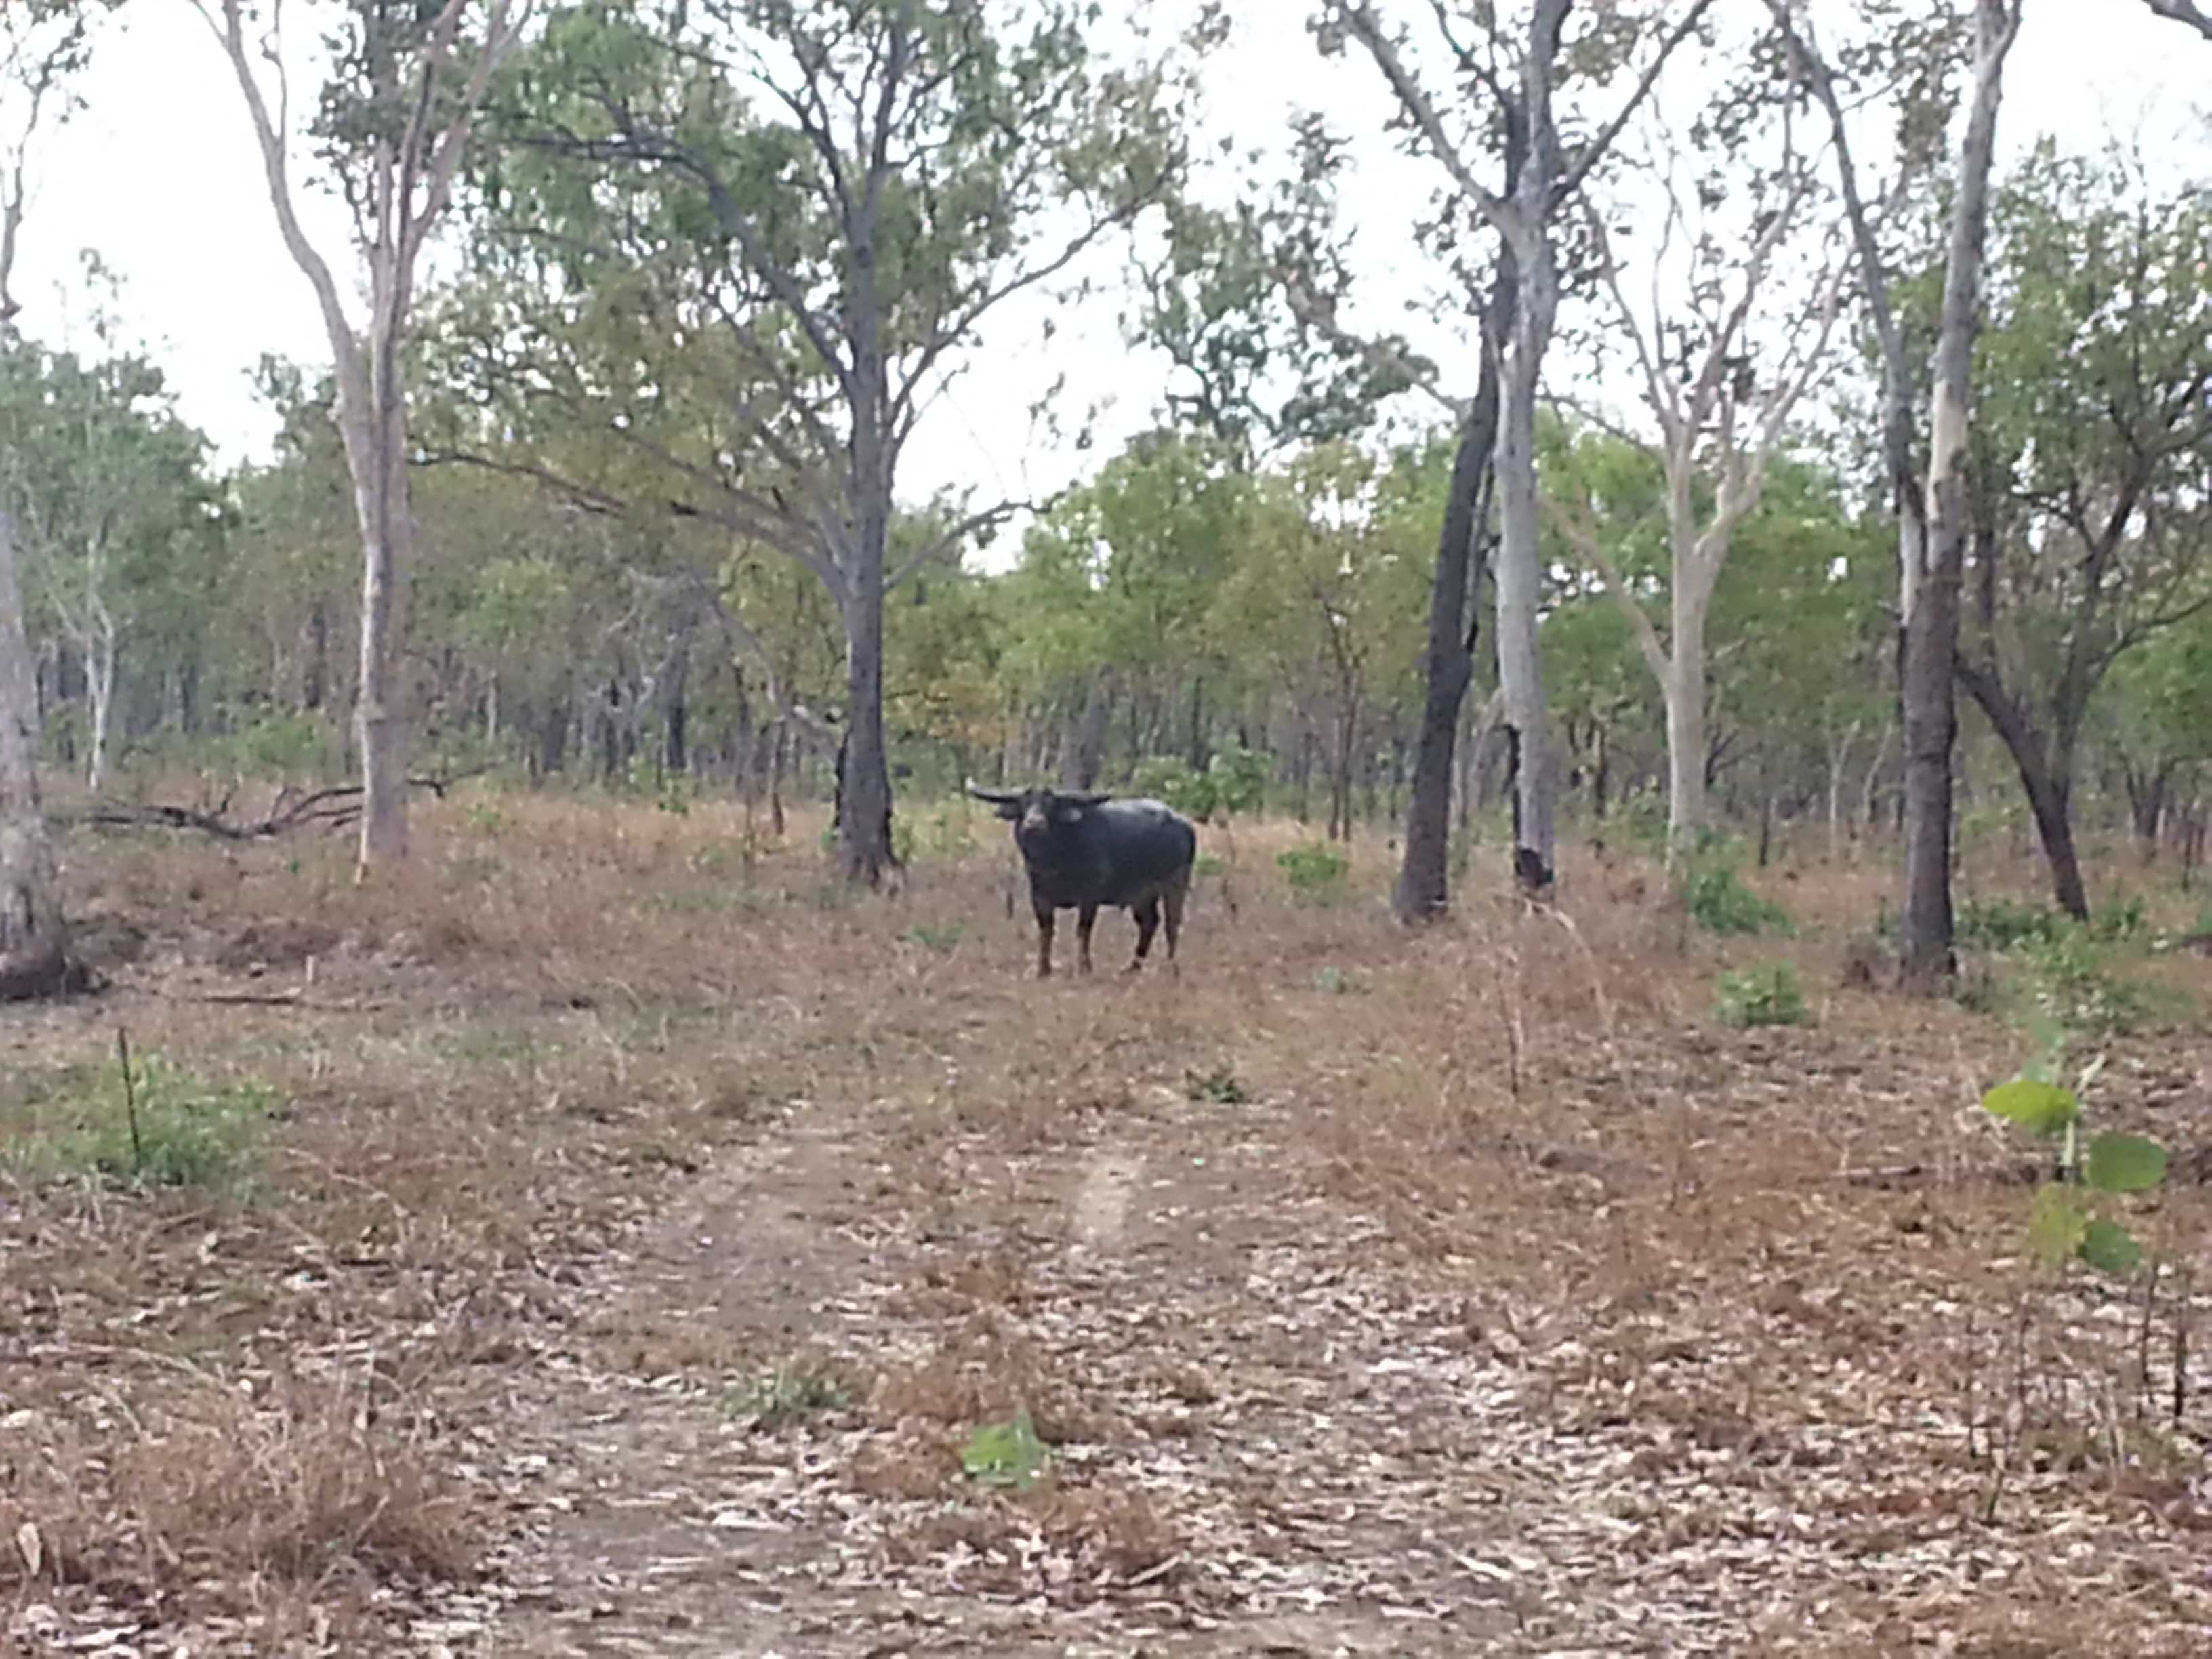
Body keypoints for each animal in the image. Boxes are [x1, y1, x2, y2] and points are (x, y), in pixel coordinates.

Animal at [966, 783, 1197, 978]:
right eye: (1024, 804)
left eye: (1051, 806)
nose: (1034, 823)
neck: (1055, 863)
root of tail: (1184, 825)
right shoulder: (1040, 897)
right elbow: (1047, 930)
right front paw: (1043, 969)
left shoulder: (1089, 898)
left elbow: (1083, 931)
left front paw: (1084, 967)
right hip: (1141, 896)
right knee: (1149, 923)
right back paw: (1133, 967)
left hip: (1175, 884)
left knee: (1171, 924)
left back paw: (1170, 967)